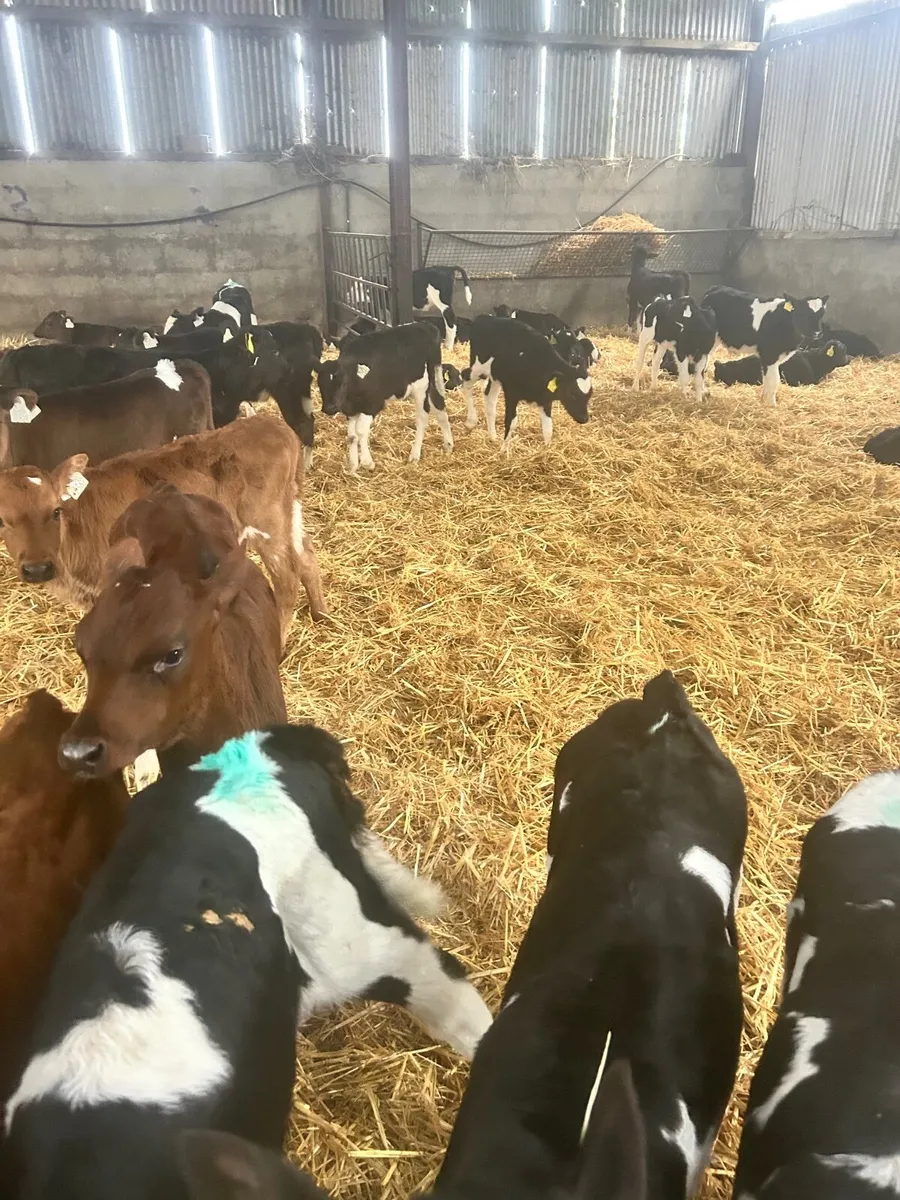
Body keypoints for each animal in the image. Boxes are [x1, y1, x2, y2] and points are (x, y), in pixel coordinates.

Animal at [0, 414, 326, 631]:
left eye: (56, 511)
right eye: (2, 521)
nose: (37, 568)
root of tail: (272, 423)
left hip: (266, 524)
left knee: (287, 579)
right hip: (291, 511)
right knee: (307, 557)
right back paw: (321, 614)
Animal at [321, 322, 451, 471]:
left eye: (343, 383)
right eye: (320, 384)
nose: (329, 408)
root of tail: (427, 325)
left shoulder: (372, 404)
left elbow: (360, 431)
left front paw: (367, 462)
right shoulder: (352, 409)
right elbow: (352, 436)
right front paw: (353, 466)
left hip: (421, 387)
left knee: (422, 418)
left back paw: (414, 455)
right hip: (433, 381)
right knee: (439, 406)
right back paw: (448, 444)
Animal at [462, 315, 592, 449]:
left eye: (589, 396)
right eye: (573, 394)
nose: (585, 418)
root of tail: (483, 318)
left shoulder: (545, 400)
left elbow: (548, 428)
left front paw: (546, 449)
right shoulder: (511, 393)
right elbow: (511, 421)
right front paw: (503, 450)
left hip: (495, 377)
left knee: (489, 398)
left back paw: (492, 436)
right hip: (478, 368)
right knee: (465, 379)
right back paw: (471, 421)